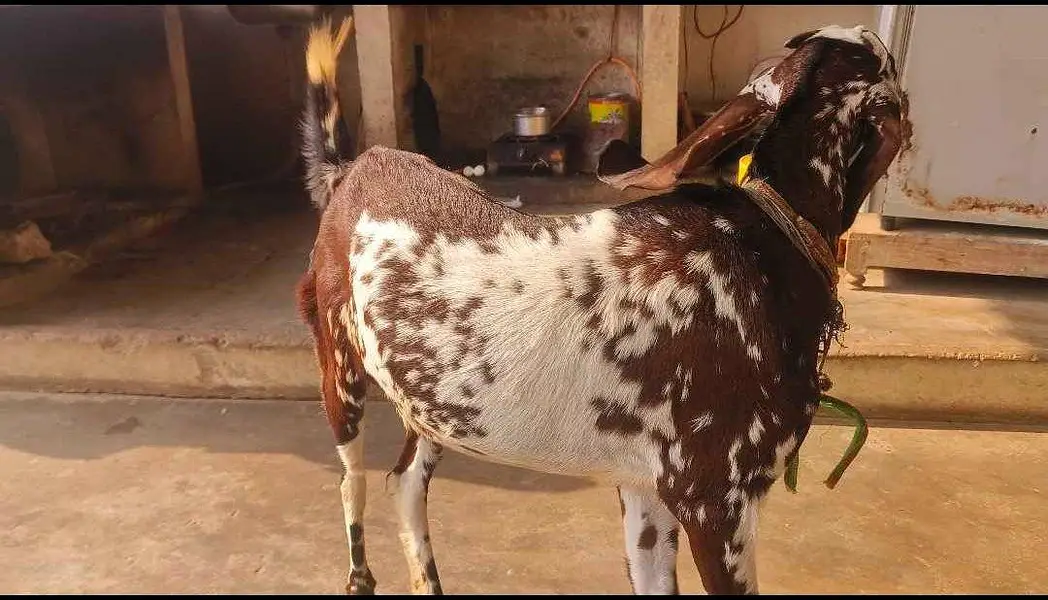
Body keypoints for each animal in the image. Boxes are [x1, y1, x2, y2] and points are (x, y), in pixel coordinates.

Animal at [296, 18, 906, 595]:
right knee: (354, 479)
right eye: (886, 64)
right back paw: (358, 575)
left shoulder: (647, 494)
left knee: (404, 482)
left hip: (433, 407)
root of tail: (353, 168)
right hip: (341, 375)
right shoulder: (717, 506)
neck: (762, 240)